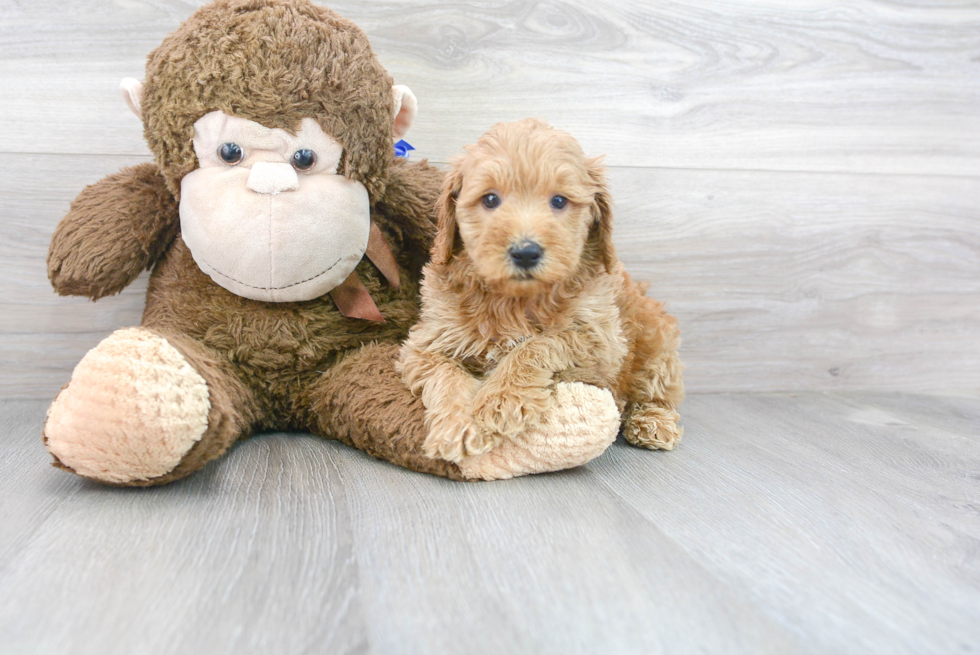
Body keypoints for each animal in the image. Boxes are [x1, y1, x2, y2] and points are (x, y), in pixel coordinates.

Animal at [396, 119, 680, 466]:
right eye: (490, 200)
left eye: (558, 201)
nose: (525, 252)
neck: (515, 299)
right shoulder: (425, 344)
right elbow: (446, 375)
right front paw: (457, 426)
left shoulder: (601, 342)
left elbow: (539, 343)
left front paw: (502, 399)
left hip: (657, 343)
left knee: (657, 390)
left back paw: (653, 422)